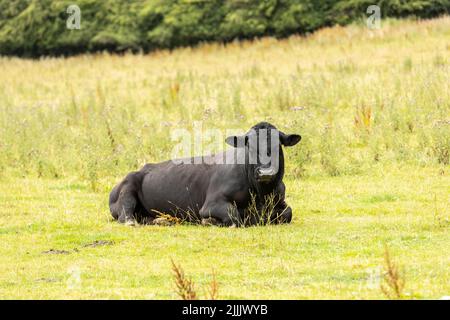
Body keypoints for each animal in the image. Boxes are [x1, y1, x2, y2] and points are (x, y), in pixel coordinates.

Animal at [107, 121, 300, 226]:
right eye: (249, 146)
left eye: (277, 145)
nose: (265, 172)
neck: (260, 194)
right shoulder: (212, 203)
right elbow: (234, 216)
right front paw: (210, 222)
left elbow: (288, 212)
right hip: (127, 189)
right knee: (126, 214)